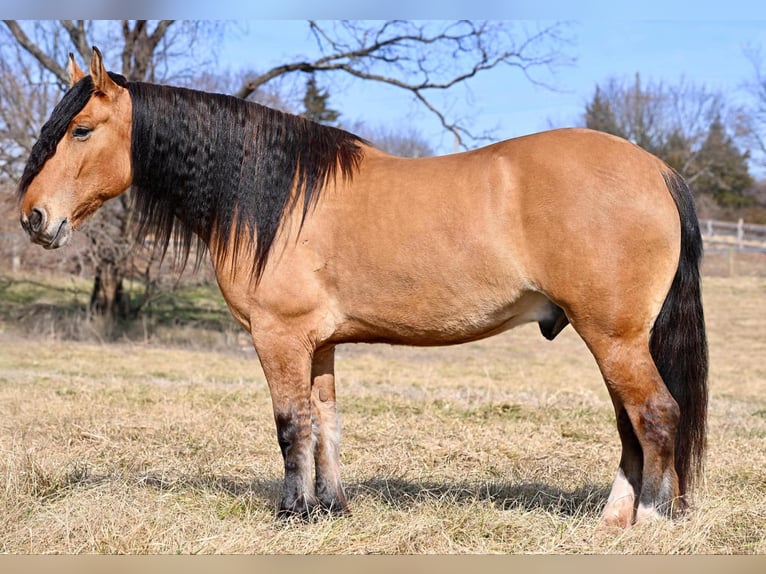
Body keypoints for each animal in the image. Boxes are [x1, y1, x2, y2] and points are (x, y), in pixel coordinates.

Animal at [15, 49, 708, 532]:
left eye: (80, 129)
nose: (33, 218)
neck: (275, 198)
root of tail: (657, 170)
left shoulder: (279, 337)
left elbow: (290, 425)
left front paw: (291, 513)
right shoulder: (319, 345)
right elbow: (326, 424)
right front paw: (331, 507)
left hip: (614, 337)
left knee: (656, 415)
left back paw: (651, 519)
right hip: (612, 340)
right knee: (630, 426)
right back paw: (613, 520)